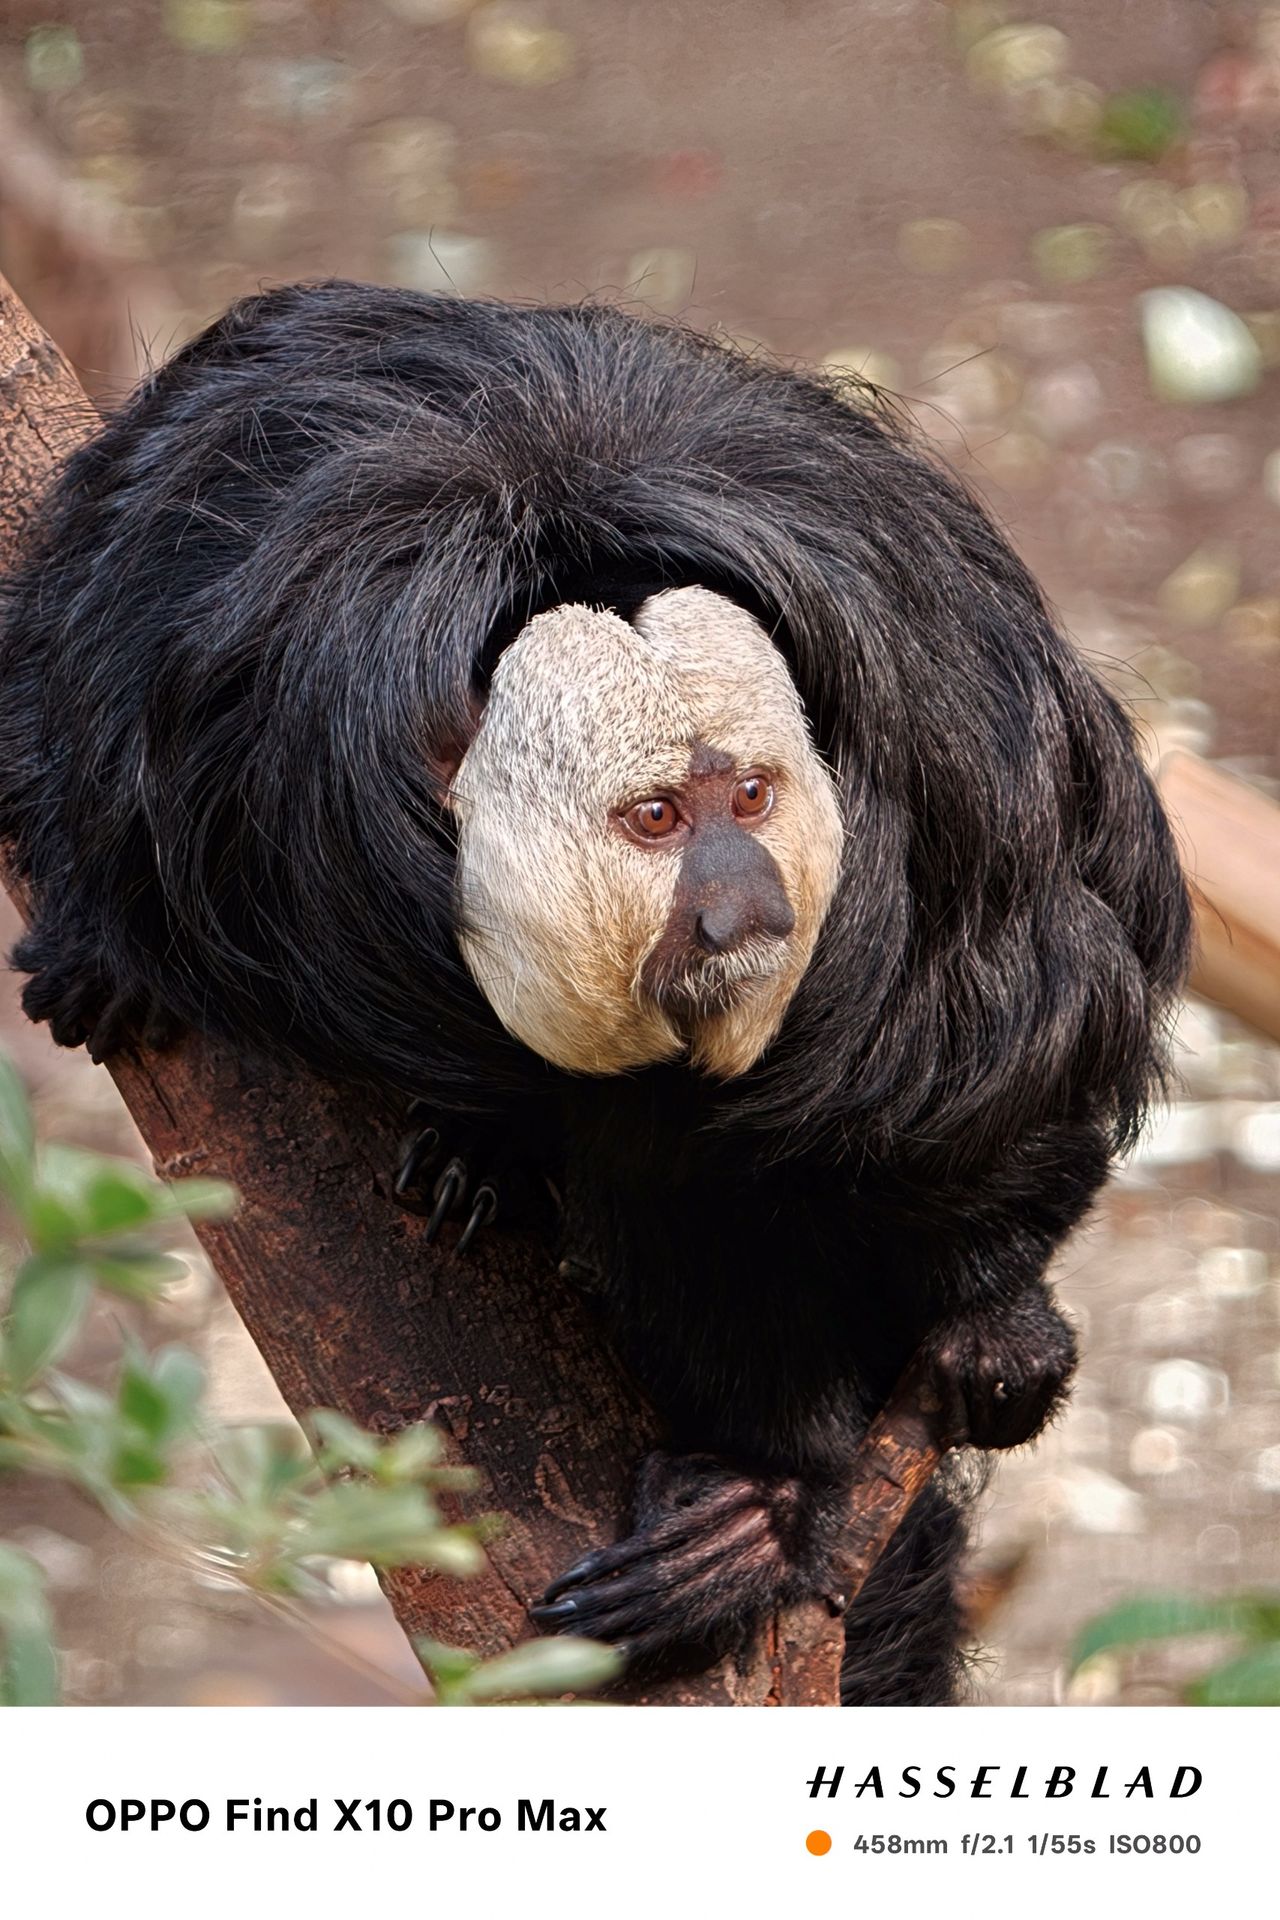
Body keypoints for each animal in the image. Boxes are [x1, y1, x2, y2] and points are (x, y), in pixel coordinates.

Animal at [0, 281, 1191, 1702]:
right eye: (656, 818)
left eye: (751, 797)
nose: (743, 904)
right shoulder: (242, 654)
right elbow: (93, 688)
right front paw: (104, 936)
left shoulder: (942, 761)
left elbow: (1011, 1049)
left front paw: (975, 1339)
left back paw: (759, 1501)